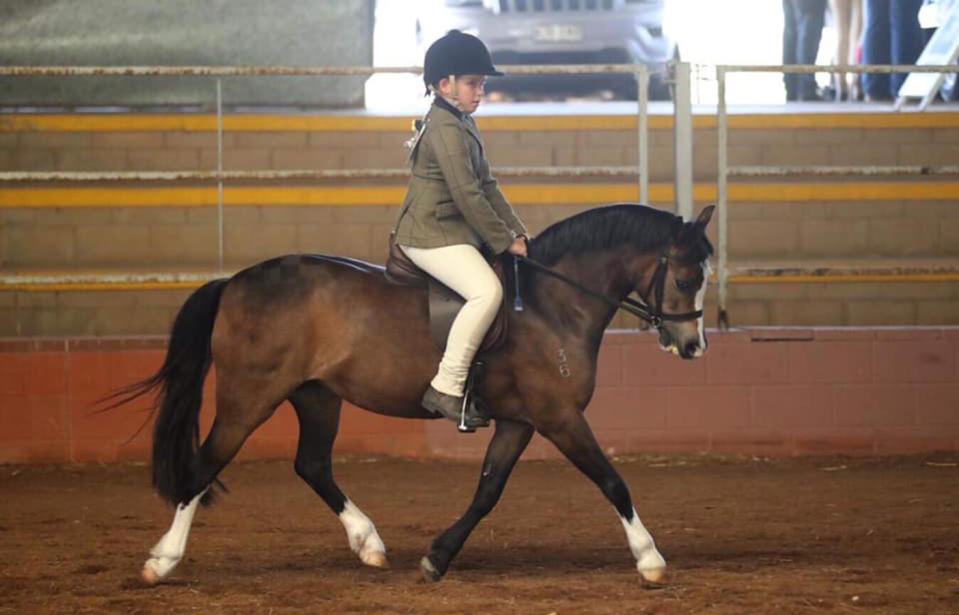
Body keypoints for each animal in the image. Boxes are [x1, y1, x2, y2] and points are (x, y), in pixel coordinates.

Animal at [118, 201, 712, 588]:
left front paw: (437, 558)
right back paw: (162, 561)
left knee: (312, 465)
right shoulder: (559, 417)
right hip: (250, 398)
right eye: (686, 280)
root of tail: (233, 283)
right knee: (203, 467)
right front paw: (649, 559)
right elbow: (612, 481)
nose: (693, 346)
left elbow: (487, 491)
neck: (551, 302)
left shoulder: (519, 421)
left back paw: (368, 544)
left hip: (316, 396)